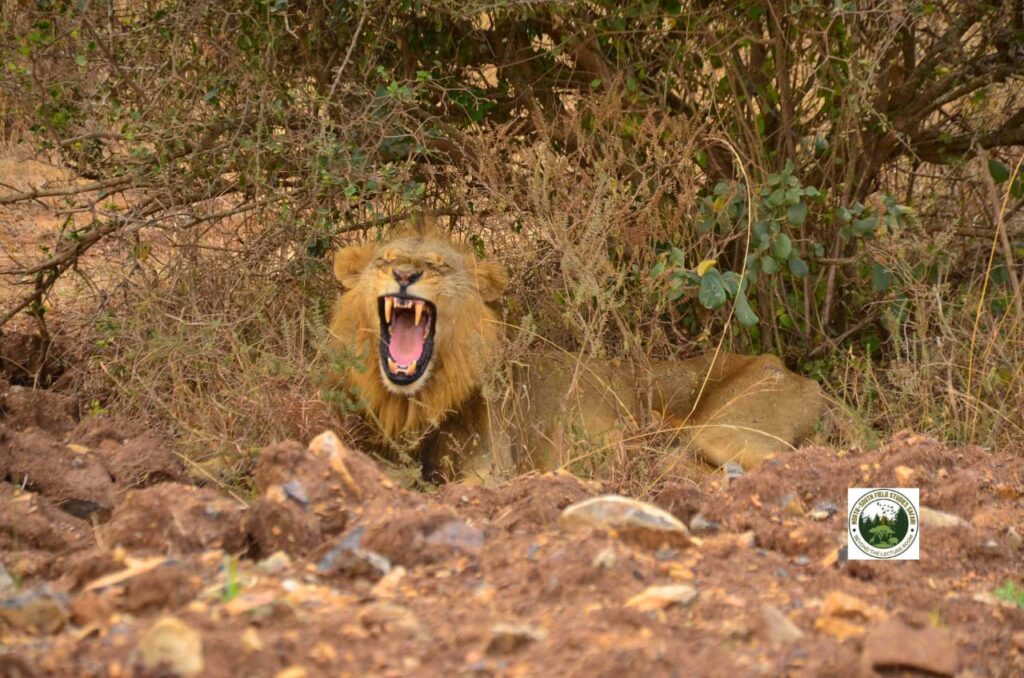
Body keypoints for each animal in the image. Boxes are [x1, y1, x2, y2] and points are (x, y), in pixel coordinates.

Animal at [328, 221, 825, 483]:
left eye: (438, 266)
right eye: (384, 260)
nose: (404, 275)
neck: (418, 399)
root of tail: (795, 374)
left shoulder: (494, 470)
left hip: (724, 430)